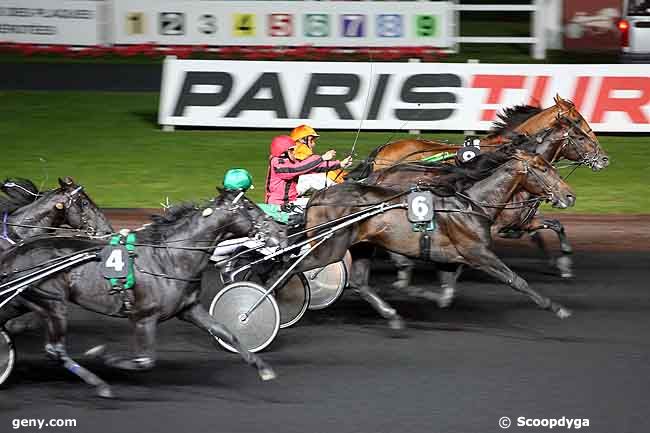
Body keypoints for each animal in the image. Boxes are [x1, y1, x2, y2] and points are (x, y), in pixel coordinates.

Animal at [0, 187, 278, 396]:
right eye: (249, 208)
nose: (279, 230)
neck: (171, 256)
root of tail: (14, 253)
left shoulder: (189, 308)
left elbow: (226, 332)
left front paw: (263, 368)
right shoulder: (144, 317)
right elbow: (144, 361)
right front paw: (103, 355)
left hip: (24, 301)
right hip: (54, 302)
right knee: (55, 350)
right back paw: (99, 384)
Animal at [292, 148, 576, 328]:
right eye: (542, 168)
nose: (569, 195)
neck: (472, 204)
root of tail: (318, 196)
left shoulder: (449, 258)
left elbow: (446, 294)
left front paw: (422, 295)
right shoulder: (479, 253)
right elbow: (516, 280)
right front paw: (556, 307)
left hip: (362, 245)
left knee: (360, 282)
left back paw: (392, 316)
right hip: (330, 246)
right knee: (297, 268)